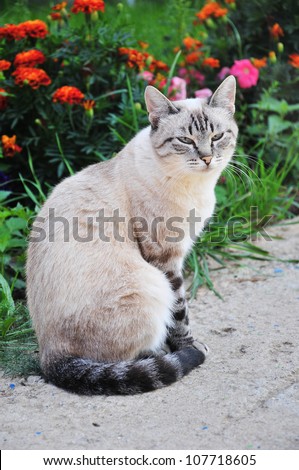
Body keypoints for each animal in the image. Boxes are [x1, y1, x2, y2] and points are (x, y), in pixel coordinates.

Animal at [27, 76, 239, 392]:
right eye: (185, 141)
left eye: (217, 137)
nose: (206, 158)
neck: (195, 187)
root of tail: (48, 356)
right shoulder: (165, 257)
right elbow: (180, 313)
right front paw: (189, 346)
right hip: (152, 285)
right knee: (129, 358)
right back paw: (165, 354)